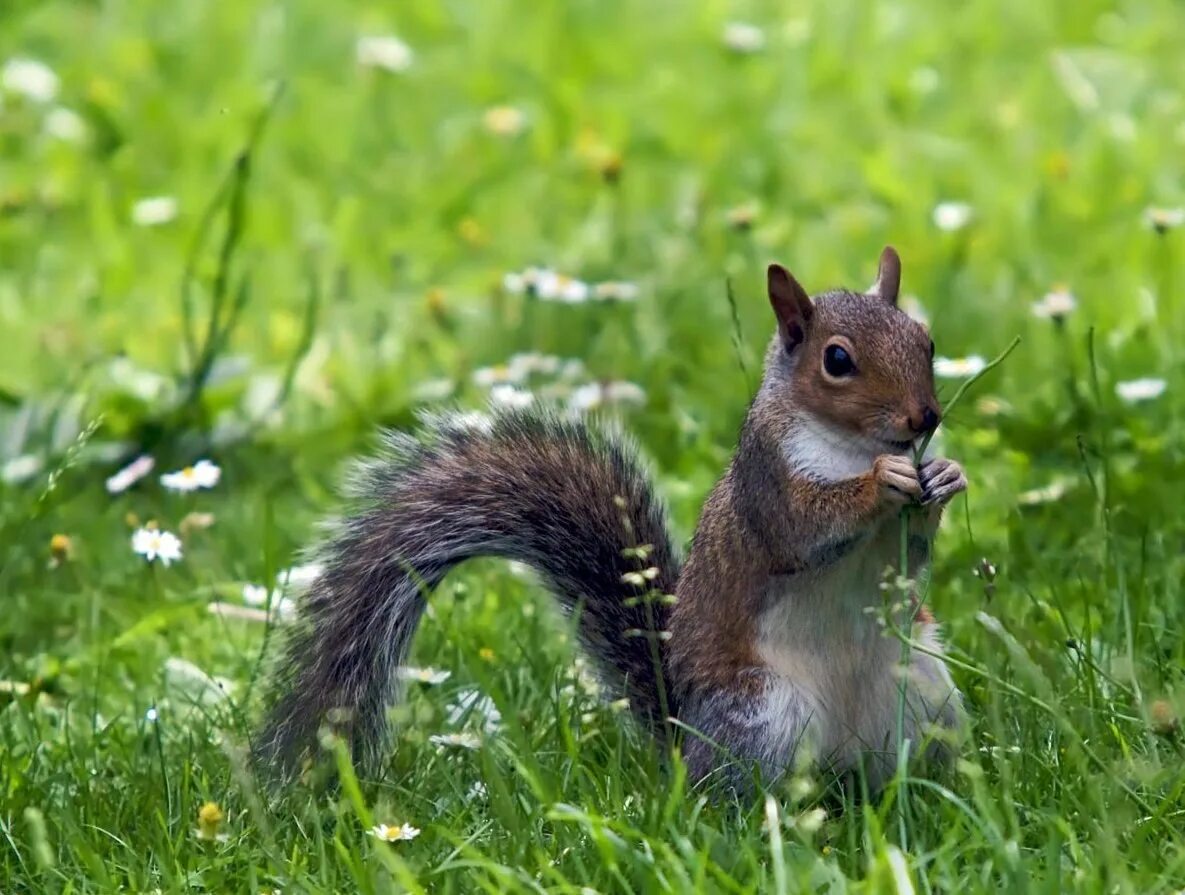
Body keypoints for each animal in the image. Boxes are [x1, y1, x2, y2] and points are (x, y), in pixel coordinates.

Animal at [257, 248, 962, 796]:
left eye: (927, 340)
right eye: (837, 361)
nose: (924, 418)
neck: (851, 446)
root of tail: (683, 735)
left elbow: (909, 557)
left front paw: (945, 477)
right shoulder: (767, 483)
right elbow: (803, 528)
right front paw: (883, 482)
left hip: (925, 693)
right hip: (764, 715)